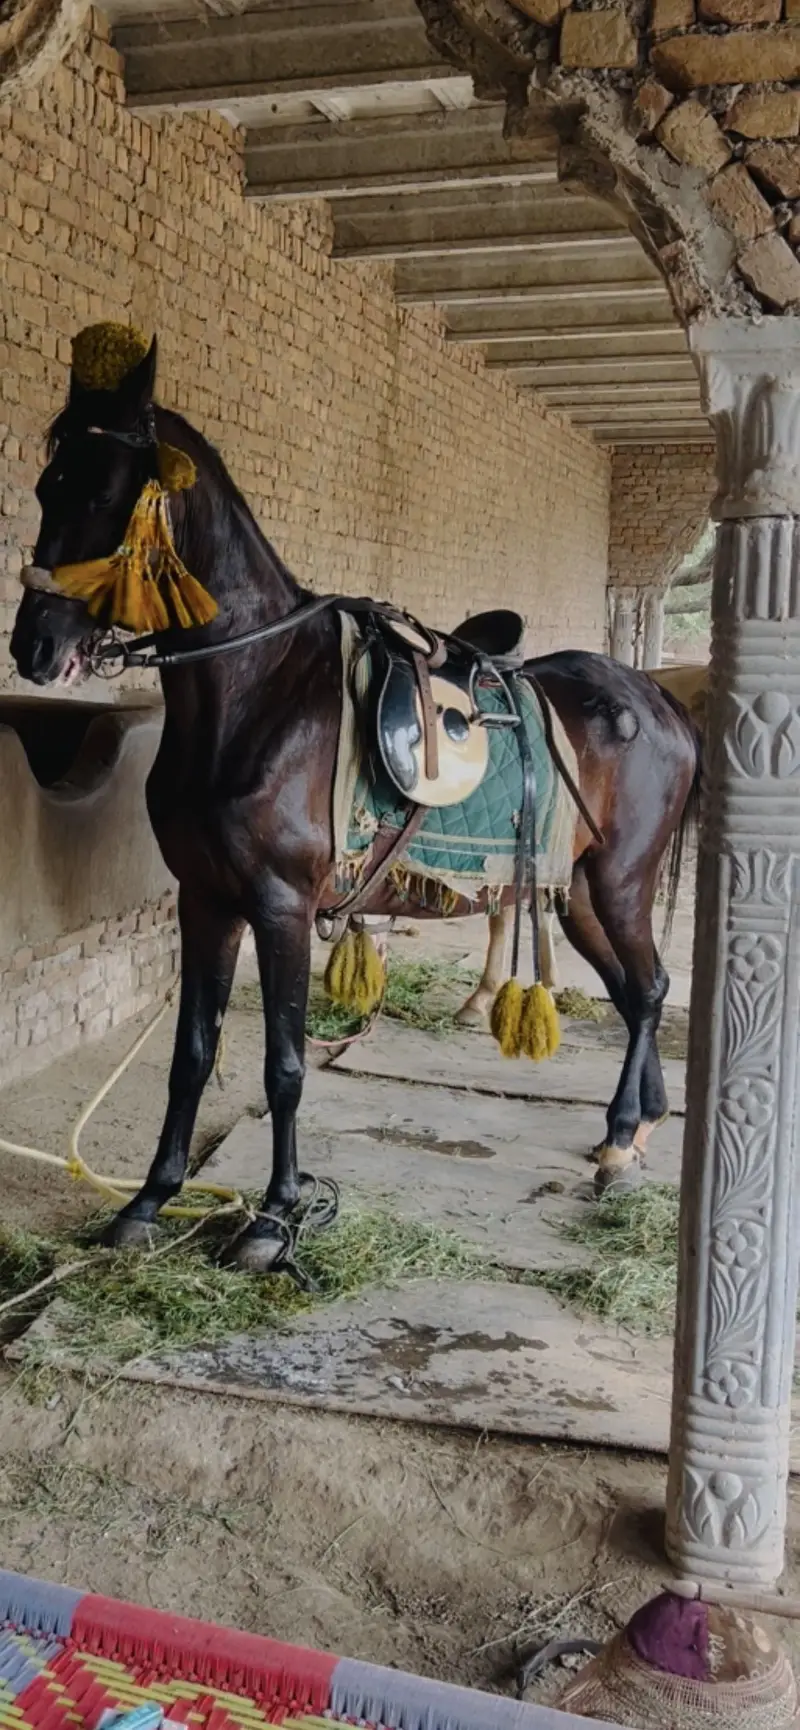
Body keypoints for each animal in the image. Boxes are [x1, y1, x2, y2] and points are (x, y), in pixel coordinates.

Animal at [10, 337, 701, 1271]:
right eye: (48, 485)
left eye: (108, 492)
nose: (35, 648)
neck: (255, 693)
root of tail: (659, 701)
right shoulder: (206, 901)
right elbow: (193, 1054)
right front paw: (149, 1201)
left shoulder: (280, 907)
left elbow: (284, 1064)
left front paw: (273, 1220)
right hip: (583, 892)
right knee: (636, 993)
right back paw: (629, 1135)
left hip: (621, 883)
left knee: (654, 987)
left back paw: (624, 1134)